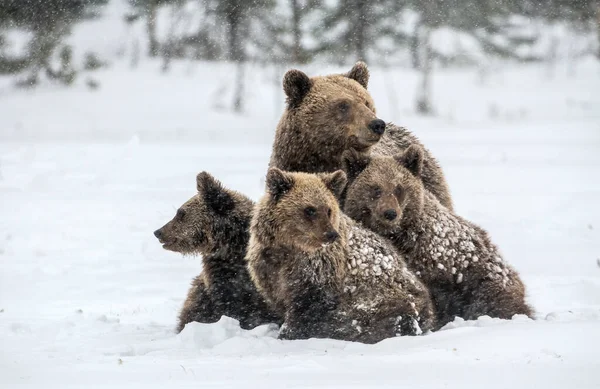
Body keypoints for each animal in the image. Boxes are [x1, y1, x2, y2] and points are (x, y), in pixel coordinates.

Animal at [245, 167, 436, 342]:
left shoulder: (317, 272)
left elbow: (306, 307)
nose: (331, 234)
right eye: (310, 209)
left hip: (384, 299)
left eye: (329, 209)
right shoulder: (269, 268)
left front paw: (289, 332)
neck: (287, 248)